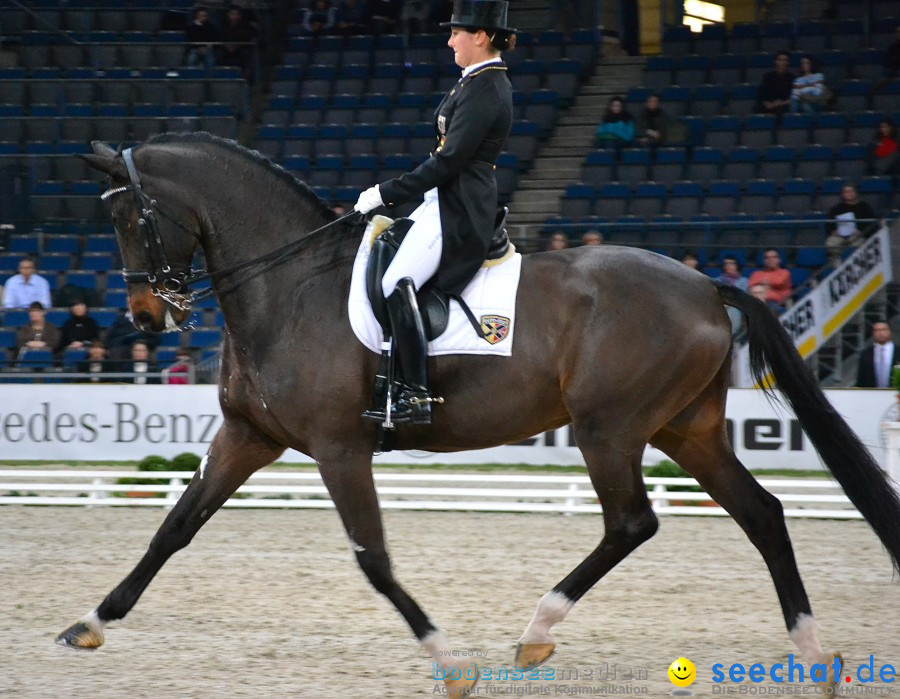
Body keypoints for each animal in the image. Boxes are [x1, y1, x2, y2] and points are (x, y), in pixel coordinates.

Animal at [59, 134, 900, 696]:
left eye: (132, 220)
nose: (143, 318)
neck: (288, 286)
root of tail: (702, 283)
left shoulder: (337, 448)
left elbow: (373, 558)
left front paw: (449, 662)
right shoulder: (248, 435)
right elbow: (175, 525)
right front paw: (92, 621)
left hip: (610, 429)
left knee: (633, 522)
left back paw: (535, 634)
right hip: (684, 428)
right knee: (761, 512)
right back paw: (815, 657)